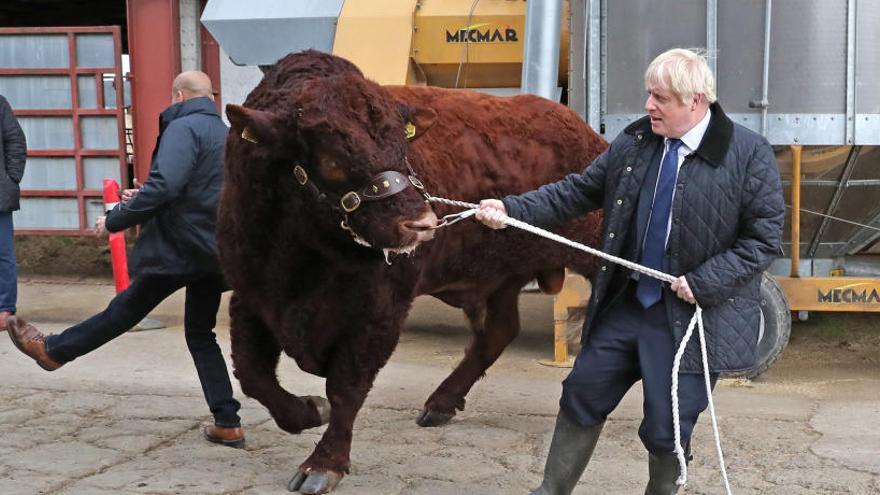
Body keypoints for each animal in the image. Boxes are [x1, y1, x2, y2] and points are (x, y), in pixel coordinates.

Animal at [219, 50, 604, 492]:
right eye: (331, 158)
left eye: (403, 147)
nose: (421, 223)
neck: (304, 258)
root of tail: (580, 129)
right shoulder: (250, 296)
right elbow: (253, 374)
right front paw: (308, 411)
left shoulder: (380, 311)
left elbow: (346, 387)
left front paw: (323, 464)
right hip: (499, 279)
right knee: (498, 331)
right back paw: (440, 403)